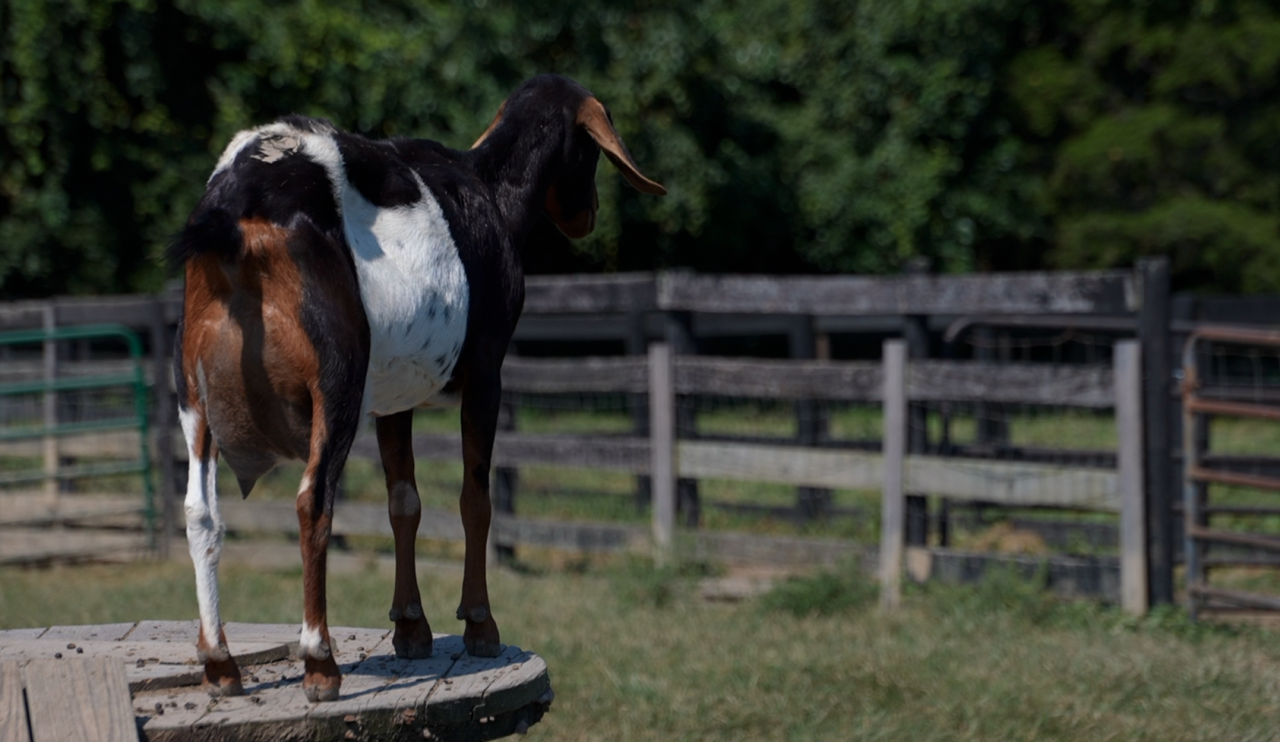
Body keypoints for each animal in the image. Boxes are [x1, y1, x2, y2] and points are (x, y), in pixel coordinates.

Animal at [168, 74, 665, 702]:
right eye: (590, 150)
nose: (589, 215)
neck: (490, 188)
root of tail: (236, 211)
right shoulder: (486, 371)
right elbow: (475, 497)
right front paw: (480, 625)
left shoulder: (394, 397)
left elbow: (403, 501)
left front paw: (410, 628)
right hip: (338, 380)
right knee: (313, 498)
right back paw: (320, 663)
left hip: (194, 391)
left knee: (200, 511)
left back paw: (220, 664)